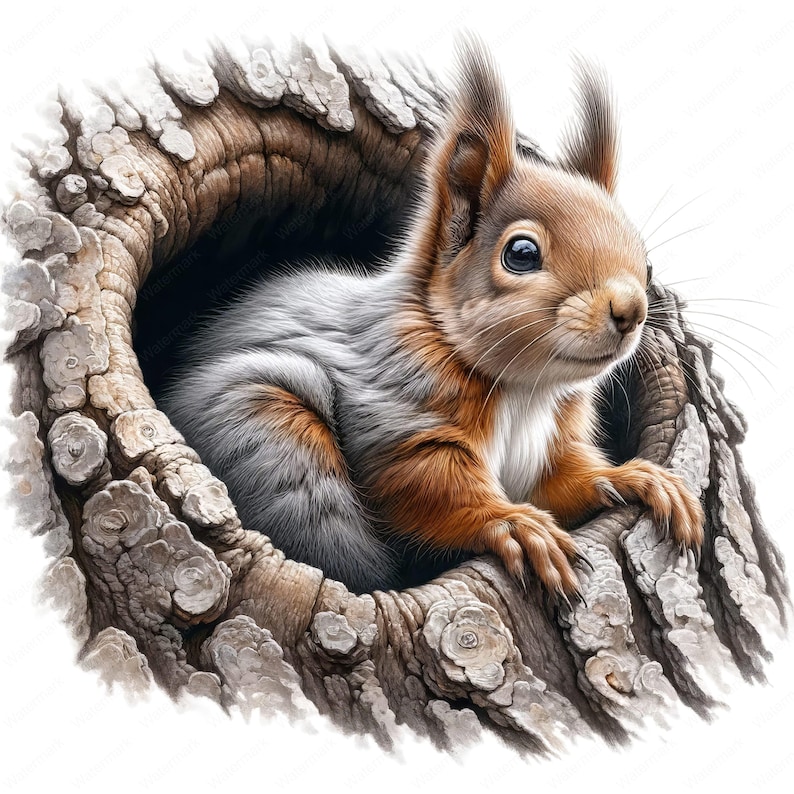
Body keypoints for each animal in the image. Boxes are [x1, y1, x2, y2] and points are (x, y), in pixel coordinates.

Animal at [162, 38, 704, 598]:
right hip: (266, 434)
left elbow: (565, 483)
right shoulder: (395, 410)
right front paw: (512, 523)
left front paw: (636, 478)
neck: (524, 392)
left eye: (644, 260)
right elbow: (431, 487)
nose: (631, 310)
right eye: (522, 253)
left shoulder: (551, 445)